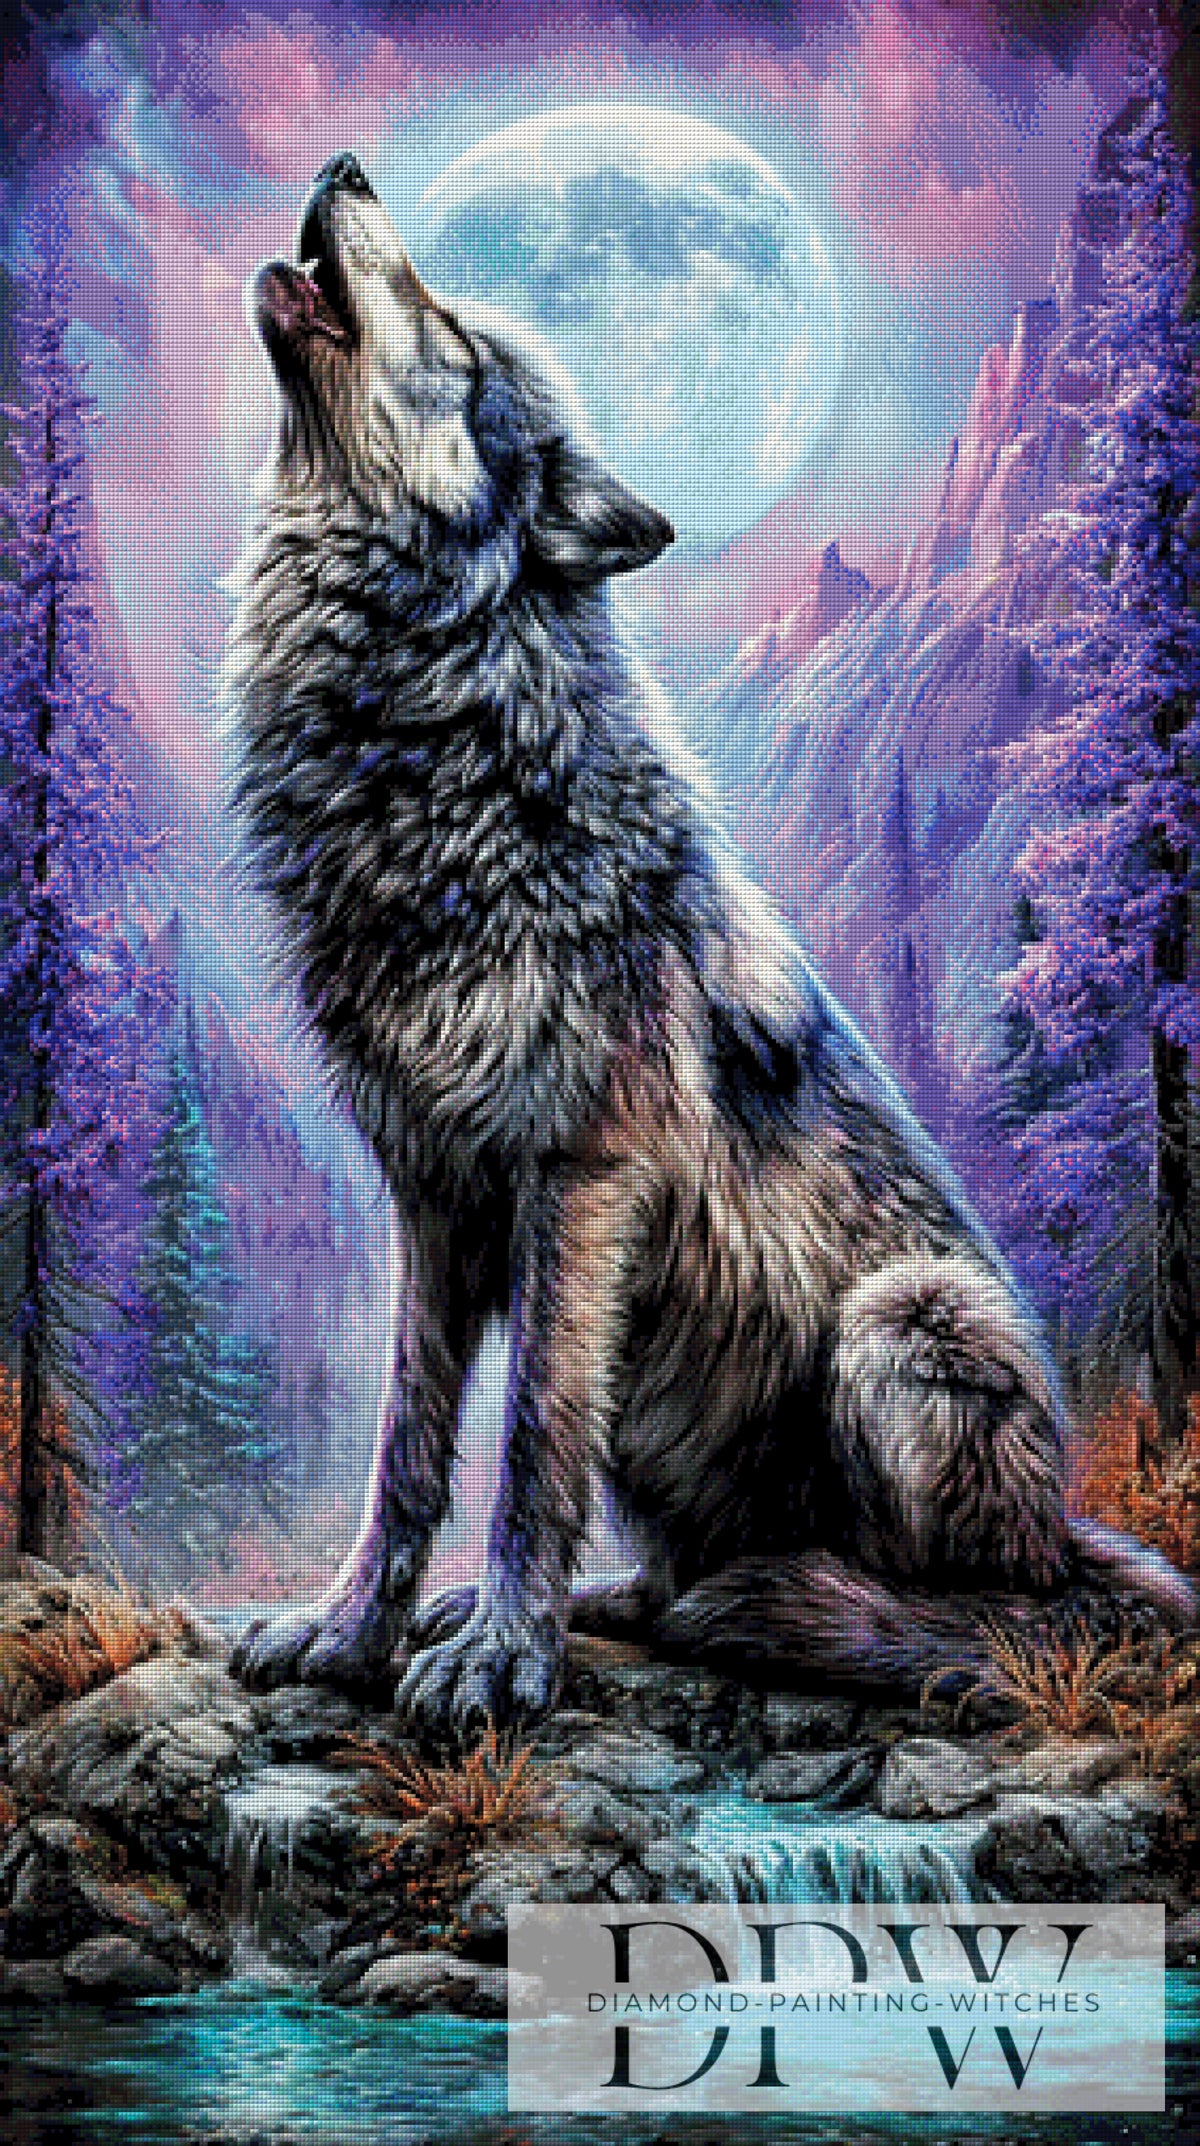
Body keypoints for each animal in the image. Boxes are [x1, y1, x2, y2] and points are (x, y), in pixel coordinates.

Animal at [224, 153, 1192, 1732]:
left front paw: (499, 1659)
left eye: (460, 339)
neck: (437, 752)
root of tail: (1069, 1529)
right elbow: (406, 1447)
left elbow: (529, 1446)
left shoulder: (581, 1173)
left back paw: (807, 1613)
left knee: (986, 1609)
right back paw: (638, 1604)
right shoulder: (429, 1192)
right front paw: (354, 1630)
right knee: (681, 1575)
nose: (347, 167)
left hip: (910, 1317)